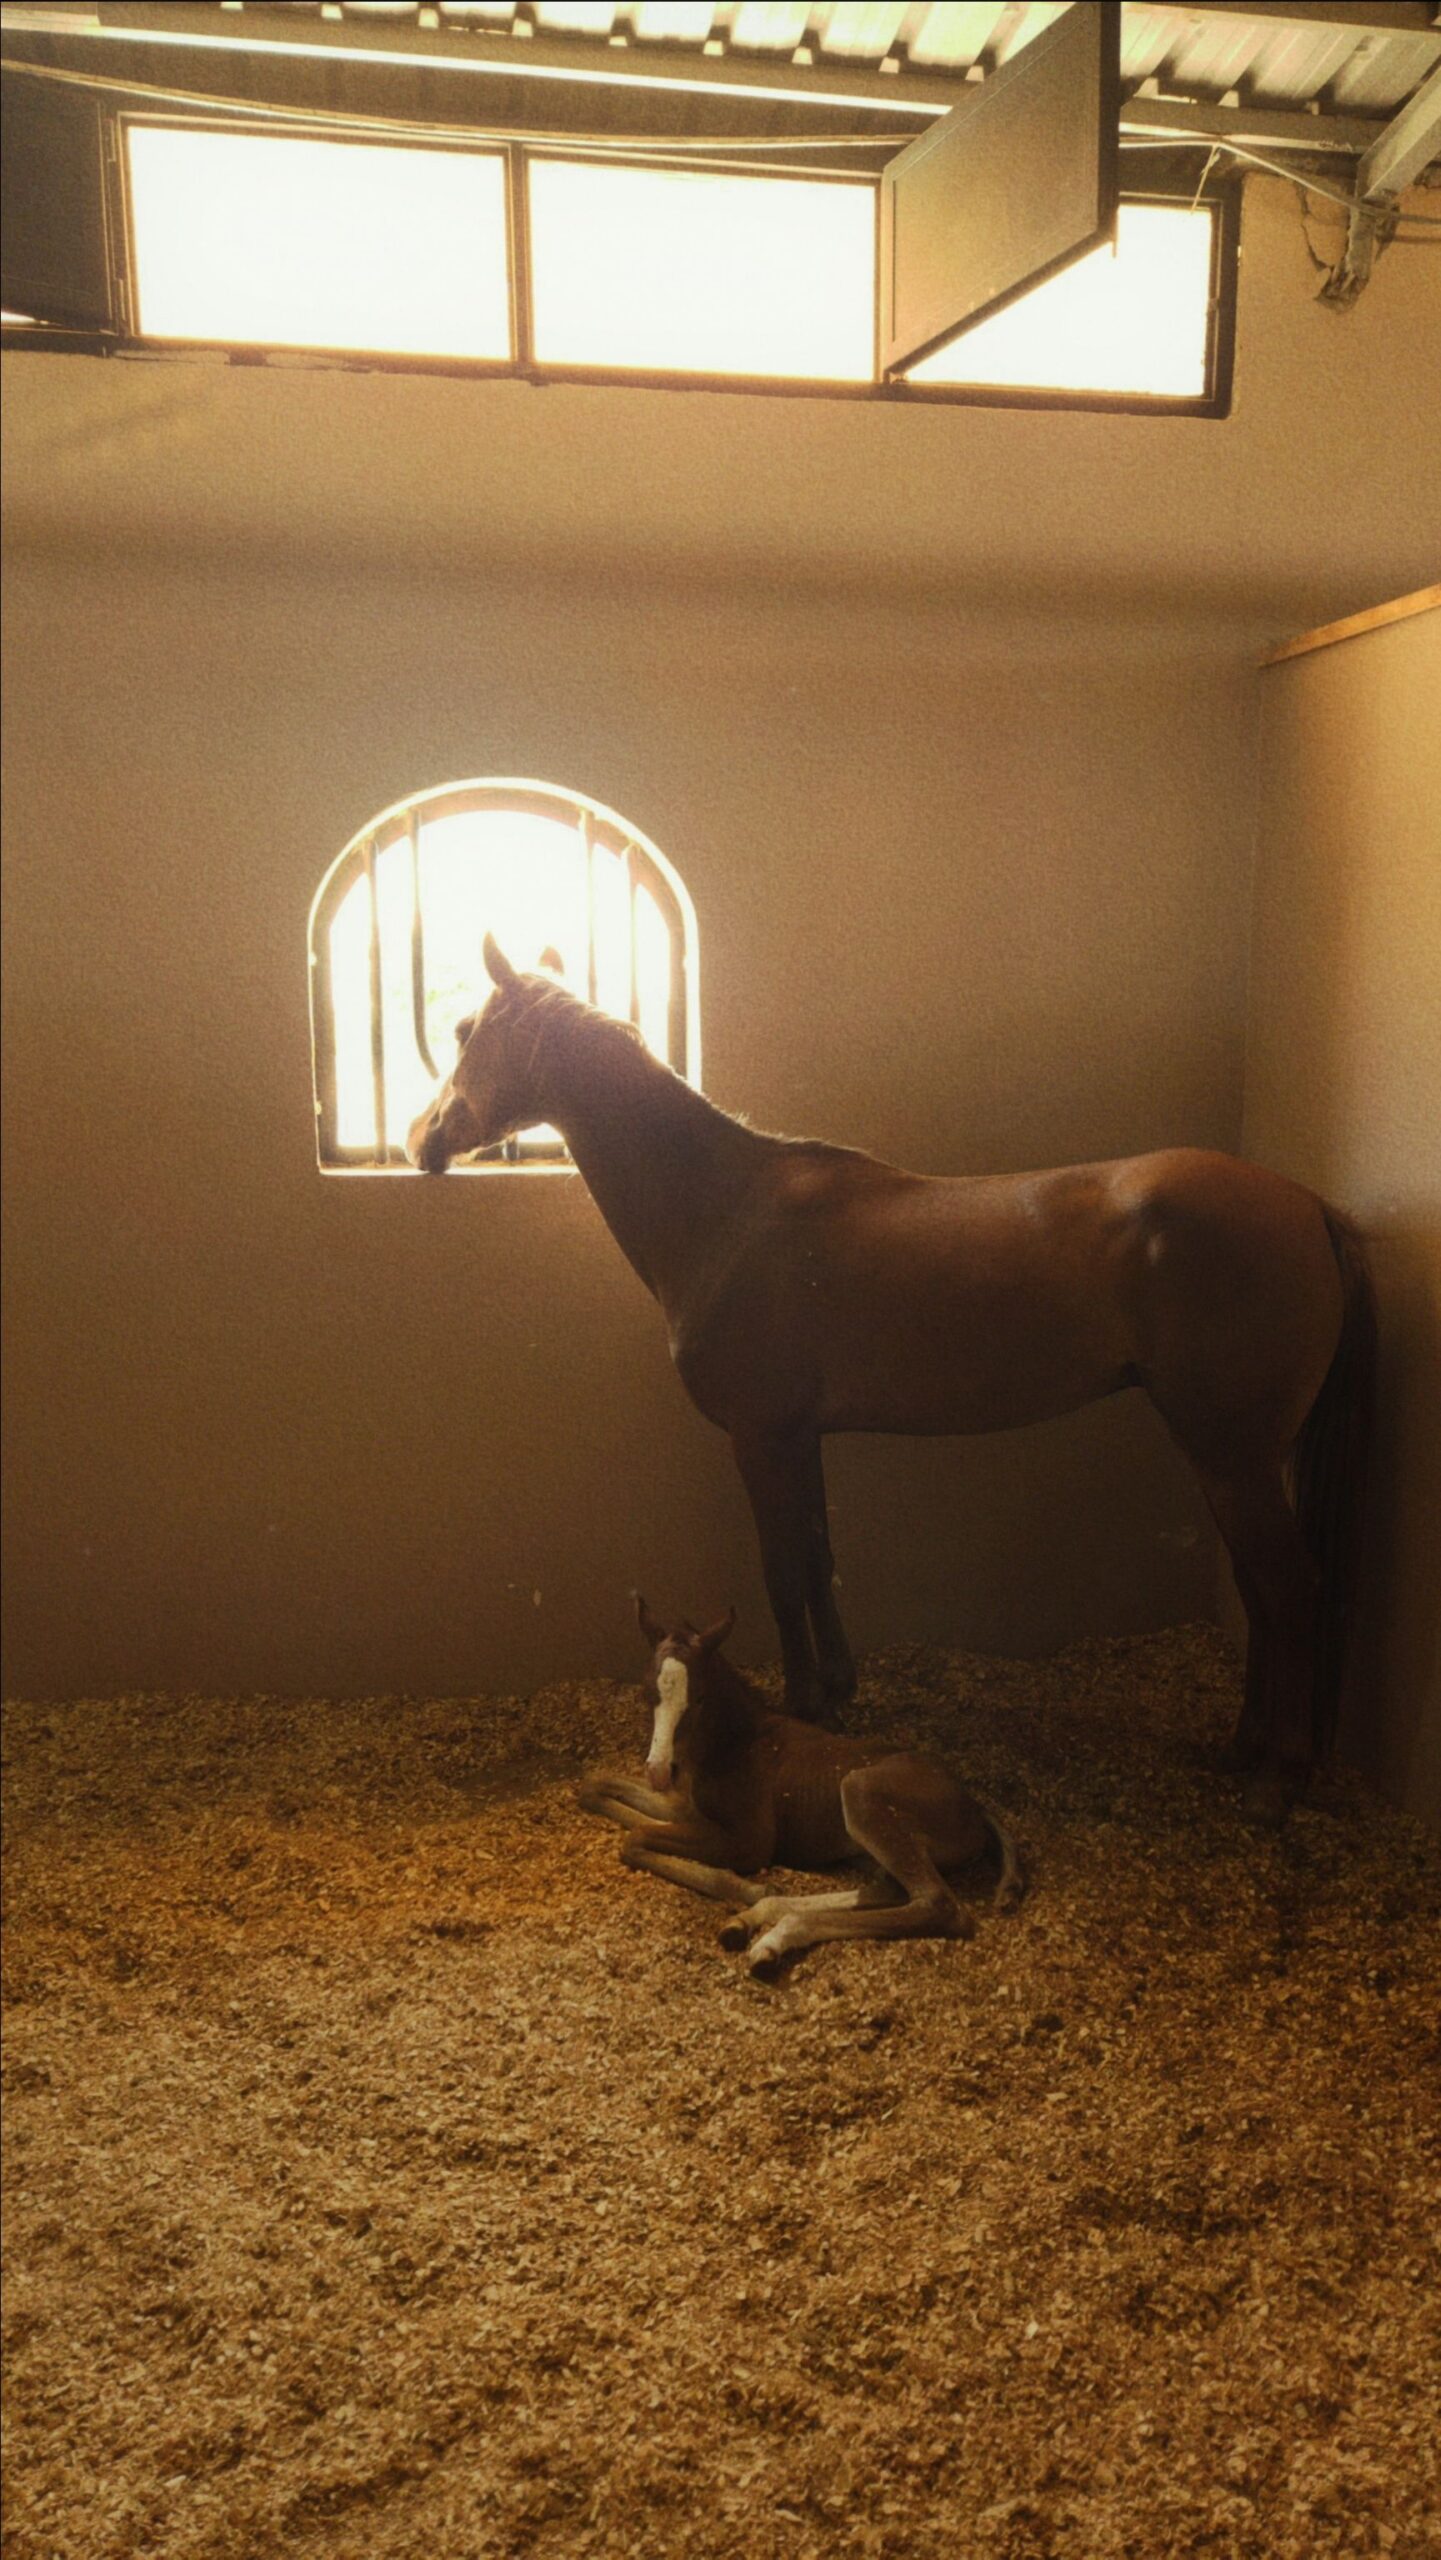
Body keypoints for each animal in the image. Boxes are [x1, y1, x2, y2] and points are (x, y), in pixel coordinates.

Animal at [408, 936, 1375, 1823]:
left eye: (464, 1029)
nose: (422, 1139)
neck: (723, 1210)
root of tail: (1306, 1205)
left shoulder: (760, 1438)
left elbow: (781, 1570)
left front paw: (803, 1701)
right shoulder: (801, 1438)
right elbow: (818, 1555)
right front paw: (838, 1689)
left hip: (1231, 1457)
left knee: (1289, 1588)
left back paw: (1278, 1777)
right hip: (1229, 1459)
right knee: (1259, 1589)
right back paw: (1241, 1747)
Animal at [576, 1598, 1023, 1976]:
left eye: (699, 1698)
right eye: (646, 1692)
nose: (658, 1770)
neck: (734, 1743)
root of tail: (975, 1807)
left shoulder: (748, 1840)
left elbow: (637, 1836)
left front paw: (743, 1885)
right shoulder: (685, 1806)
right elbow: (596, 1787)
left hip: (860, 1791)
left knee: (938, 1904)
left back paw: (773, 1937)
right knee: (890, 1889)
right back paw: (752, 1920)